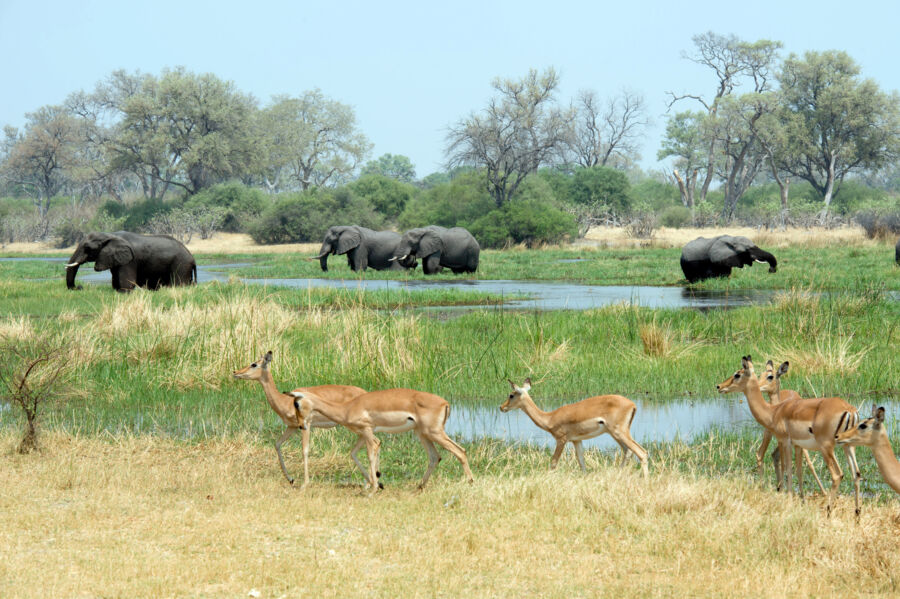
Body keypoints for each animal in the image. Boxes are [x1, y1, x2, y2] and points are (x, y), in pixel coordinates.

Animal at [64, 231, 197, 292]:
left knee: (179, 284)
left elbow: (127, 283)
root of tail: (193, 258)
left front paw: (124, 292)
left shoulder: (130, 261)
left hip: (181, 264)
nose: (79, 287)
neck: (109, 235)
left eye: (87, 248)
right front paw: (117, 291)